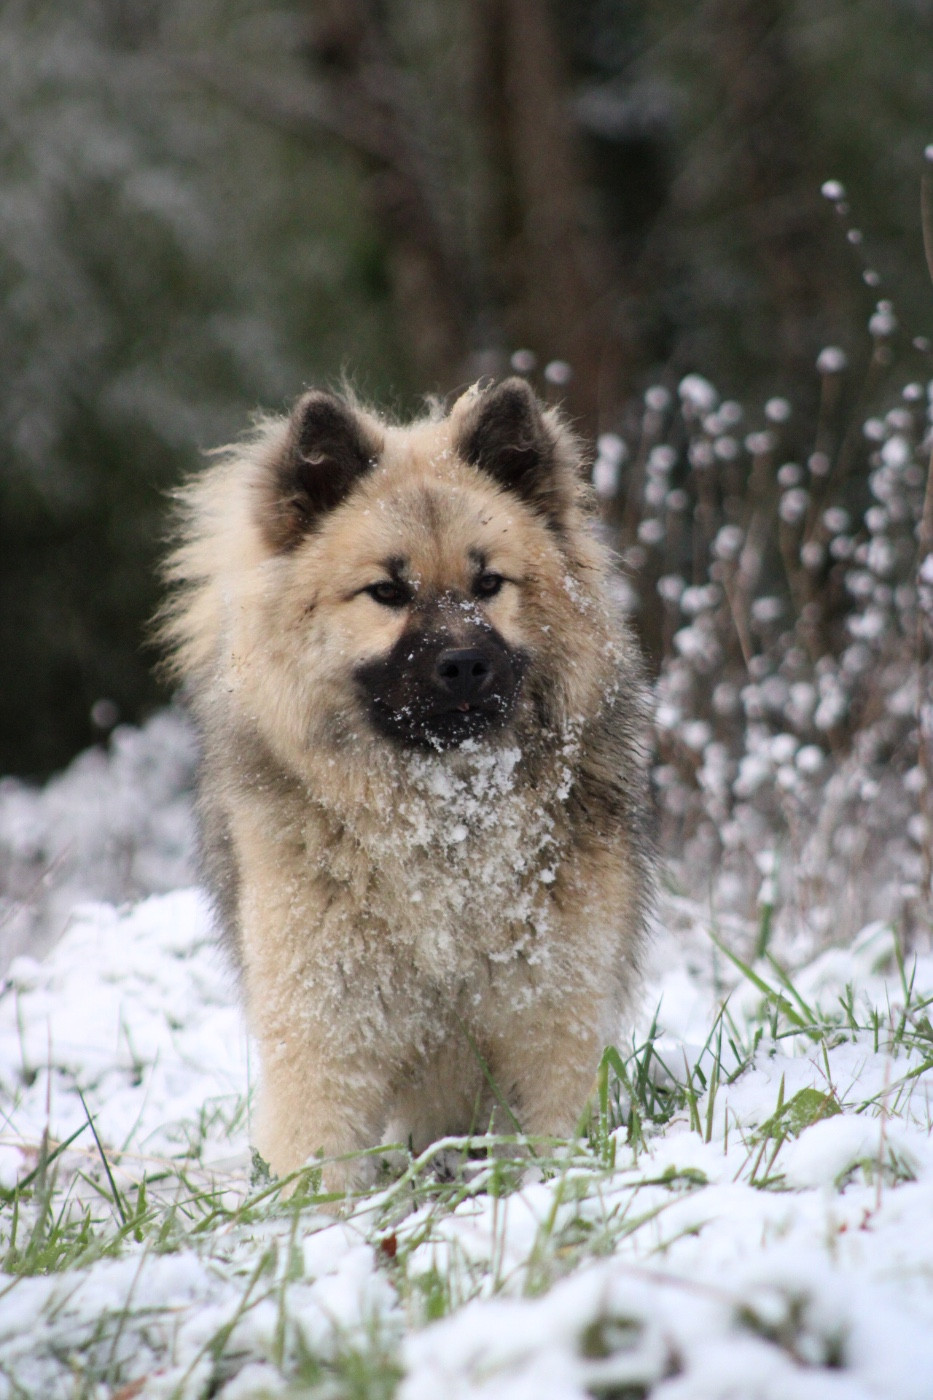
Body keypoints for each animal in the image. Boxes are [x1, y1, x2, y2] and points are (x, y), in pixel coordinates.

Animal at [159, 377, 653, 1192]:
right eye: (387, 592)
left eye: (488, 584)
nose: (463, 664)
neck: (442, 827)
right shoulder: (325, 1036)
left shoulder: (553, 1020)